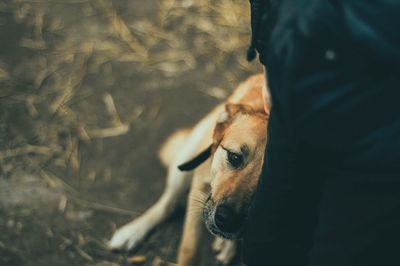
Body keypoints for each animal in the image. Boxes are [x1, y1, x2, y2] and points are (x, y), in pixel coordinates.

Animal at [109, 74, 270, 266]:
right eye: (234, 157)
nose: (228, 221)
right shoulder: (198, 189)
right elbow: (189, 250)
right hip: (187, 157)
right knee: (167, 203)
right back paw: (132, 231)